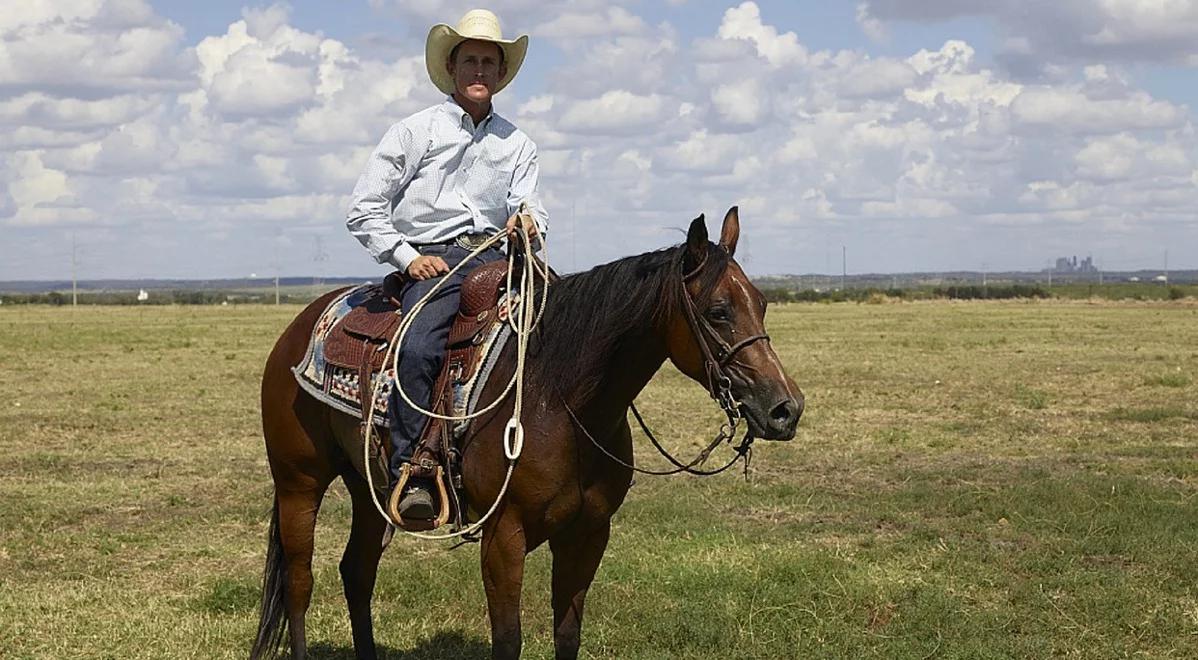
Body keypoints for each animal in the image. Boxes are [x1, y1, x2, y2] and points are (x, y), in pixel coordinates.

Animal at [247, 210, 800, 660]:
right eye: (718, 311)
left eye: (762, 303)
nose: (785, 409)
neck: (558, 397)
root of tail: (301, 324)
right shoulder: (503, 536)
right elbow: (508, 640)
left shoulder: (588, 533)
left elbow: (567, 634)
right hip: (299, 483)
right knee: (299, 582)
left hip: (369, 489)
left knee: (357, 573)